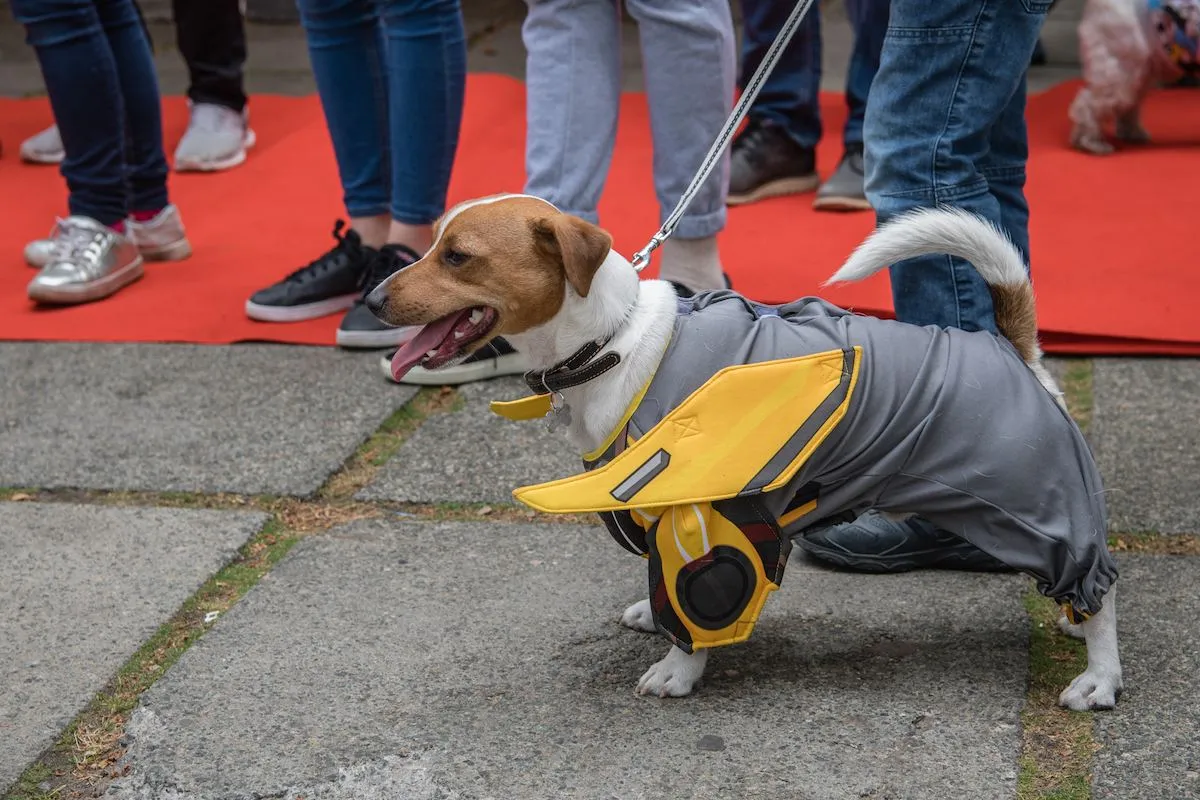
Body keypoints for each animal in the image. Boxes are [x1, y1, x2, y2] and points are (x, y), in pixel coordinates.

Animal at [364, 195, 1123, 714]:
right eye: (434, 244)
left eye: (457, 255)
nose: (370, 297)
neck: (611, 340)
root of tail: (1011, 345)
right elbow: (658, 585)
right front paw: (652, 618)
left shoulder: (701, 516)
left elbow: (696, 598)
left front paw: (679, 670)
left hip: (1033, 500)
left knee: (1100, 590)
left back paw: (1098, 674)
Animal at [1070, 0, 1200, 154]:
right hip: (1120, 70)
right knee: (1090, 103)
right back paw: (1092, 142)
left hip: (1140, 72)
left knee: (1129, 105)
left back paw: (1131, 133)